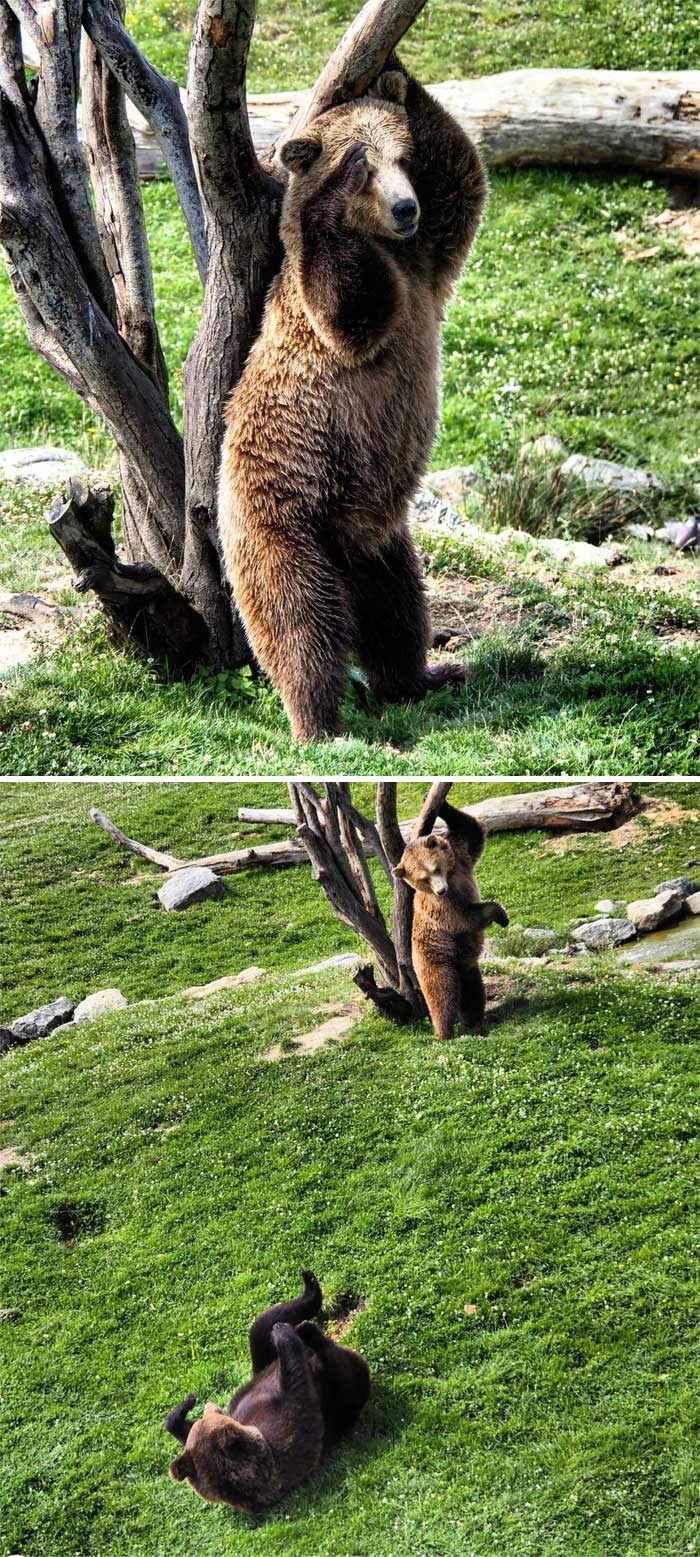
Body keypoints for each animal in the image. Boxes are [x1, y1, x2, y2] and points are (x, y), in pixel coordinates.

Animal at [165, 1268, 370, 1514]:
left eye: (211, 1414)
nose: (209, 1406)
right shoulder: (282, 1443)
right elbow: (298, 1391)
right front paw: (285, 1333)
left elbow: (181, 1431)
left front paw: (184, 1407)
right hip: (339, 1393)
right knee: (340, 1371)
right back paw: (305, 1329)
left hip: (260, 1363)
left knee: (260, 1325)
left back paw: (309, 1285)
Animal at [218, 61, 487, 743]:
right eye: (364, 167)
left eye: (403, 157)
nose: (405, 205)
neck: (393, 248)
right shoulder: (332, 311)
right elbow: (346, 304)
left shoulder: (429, 261)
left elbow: (464, 175)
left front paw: (398, 74)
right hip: (286, 517)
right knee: (300, 622)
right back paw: (319, 722)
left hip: (383, 543)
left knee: (398, 612)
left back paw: (425, 676)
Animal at [393, 800, 509, 1040]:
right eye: (423, 878)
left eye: (434, 868)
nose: (441, 890)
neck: (450, 877)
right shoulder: (441, 906)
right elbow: (463, 918)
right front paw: (500, 914)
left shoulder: (461, 858)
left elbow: (470, 832)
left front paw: (440, 805)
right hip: (435, 957)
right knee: (442, 994)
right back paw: (444, 1032)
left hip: (465, 963)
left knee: (473, 991)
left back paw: (475, 1022)